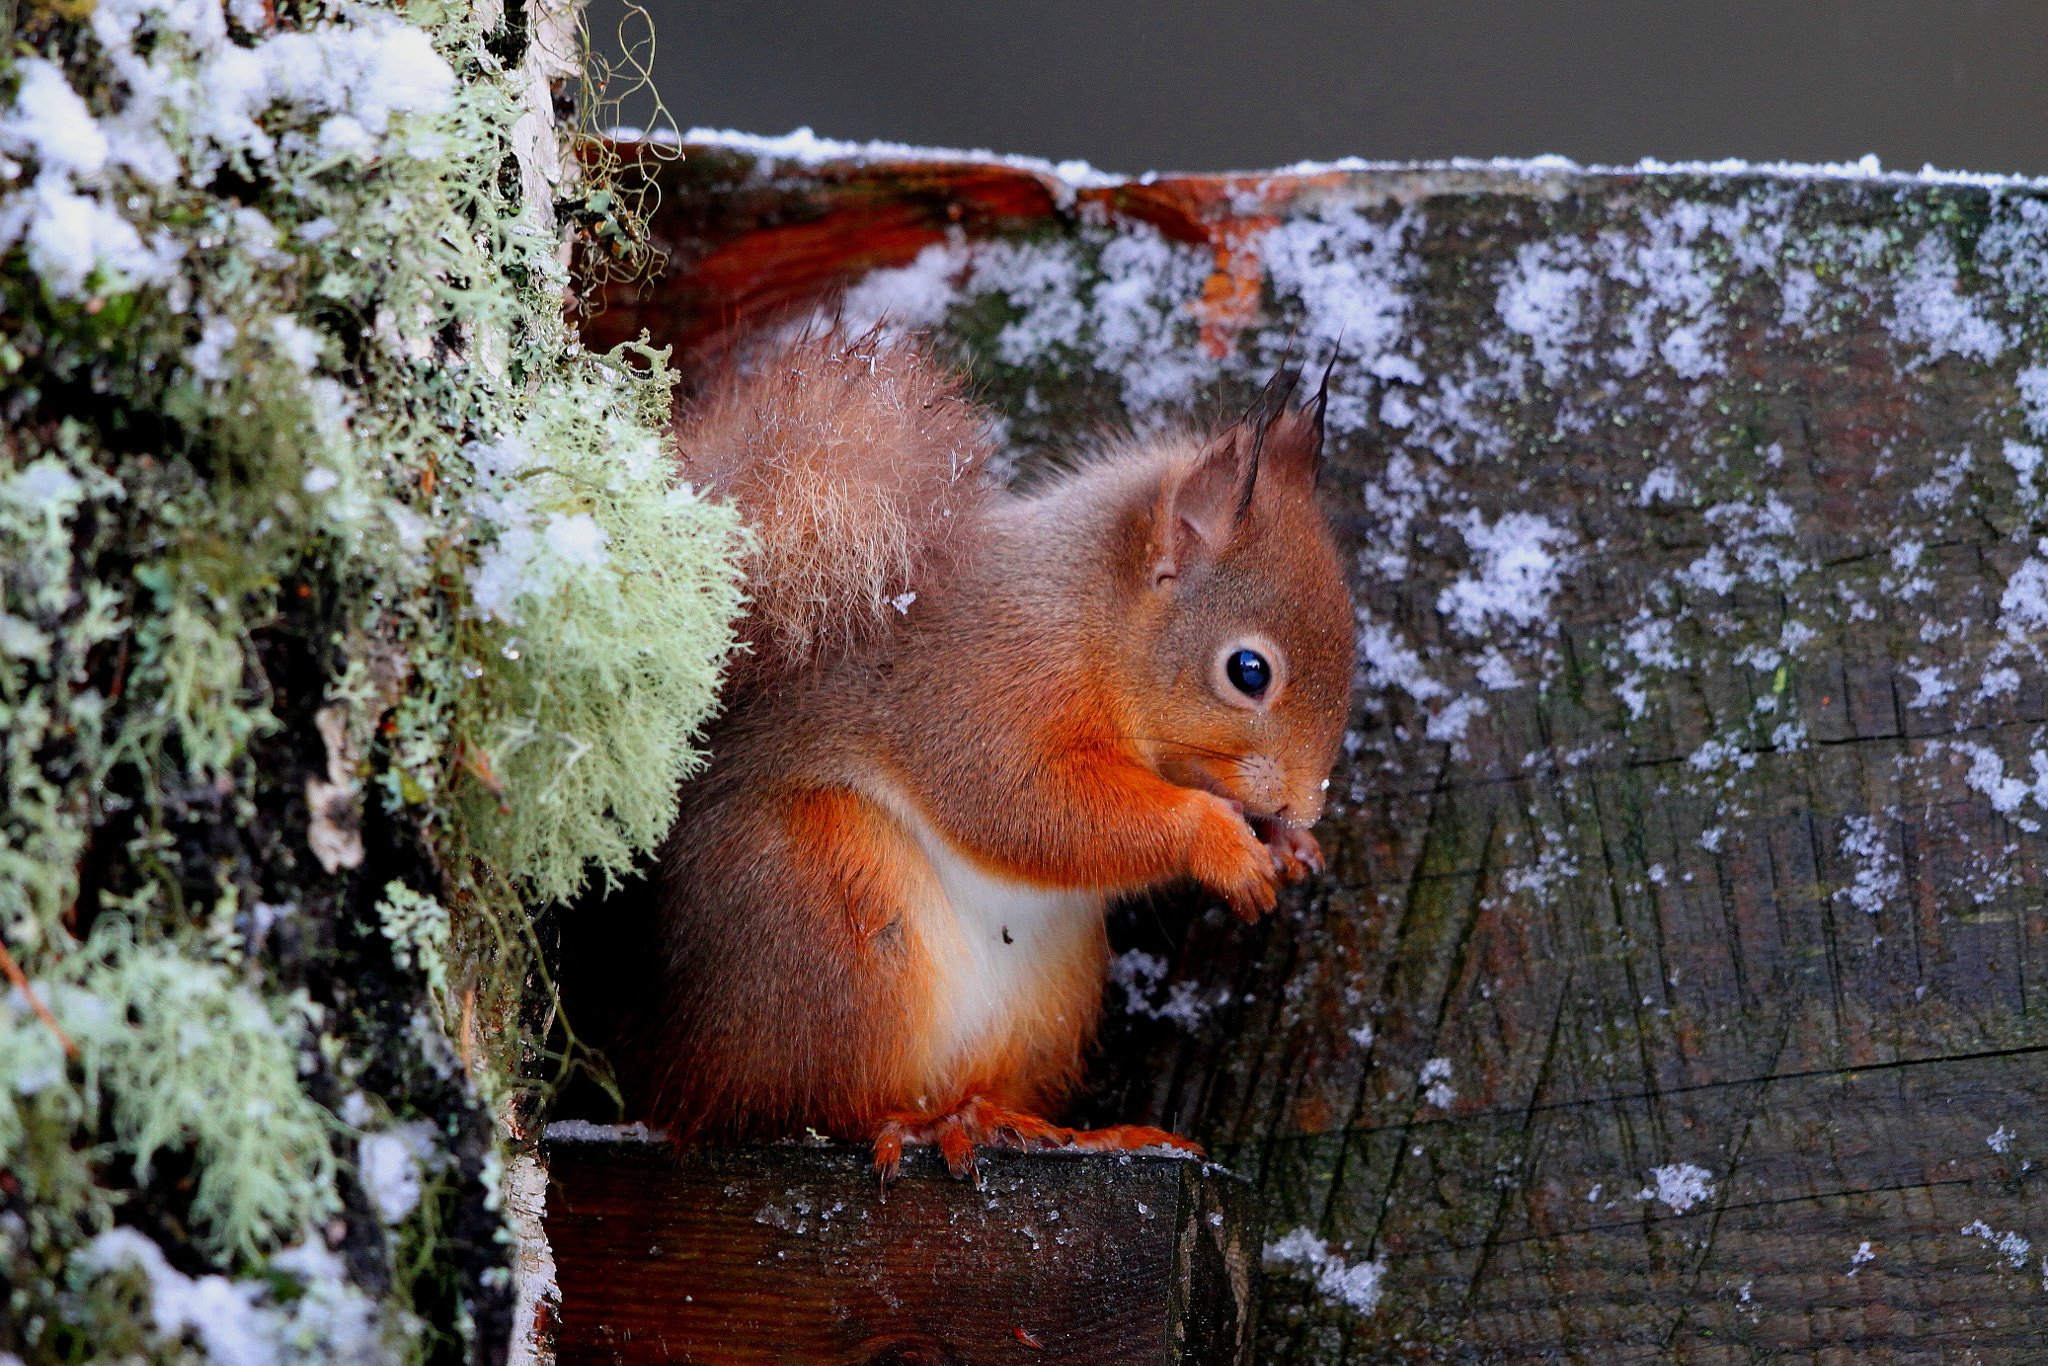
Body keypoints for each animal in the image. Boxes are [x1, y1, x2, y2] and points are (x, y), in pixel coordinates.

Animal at [642, 330, 1356, 1179]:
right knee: (799, 1110)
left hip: (1046, 998)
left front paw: (1289, 843)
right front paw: (1219, 841)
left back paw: (1038, 1127)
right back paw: (912, 1125)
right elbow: (1021, 804)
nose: (1307, 801)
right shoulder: (983, 694)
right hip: (826, 917)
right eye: (1249, 671)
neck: (1090, 619)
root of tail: (684, 1069)